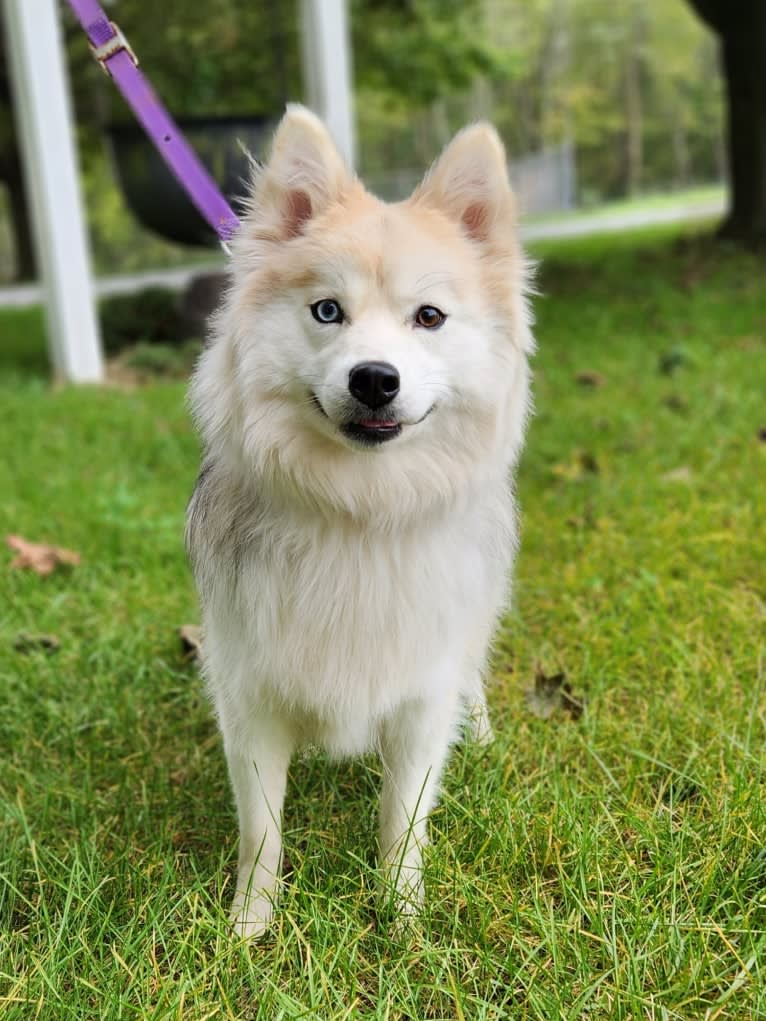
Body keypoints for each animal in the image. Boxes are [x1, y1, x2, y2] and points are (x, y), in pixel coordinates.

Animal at [187, 105, 535, 939]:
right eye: (327, 311)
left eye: (429, 317)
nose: (375, 377)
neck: (359, 511)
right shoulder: (250, 698)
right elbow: (262, 828)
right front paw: (250, 926)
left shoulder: (419, 699)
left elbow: (402, 819)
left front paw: (402, 921)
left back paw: (480, 731)